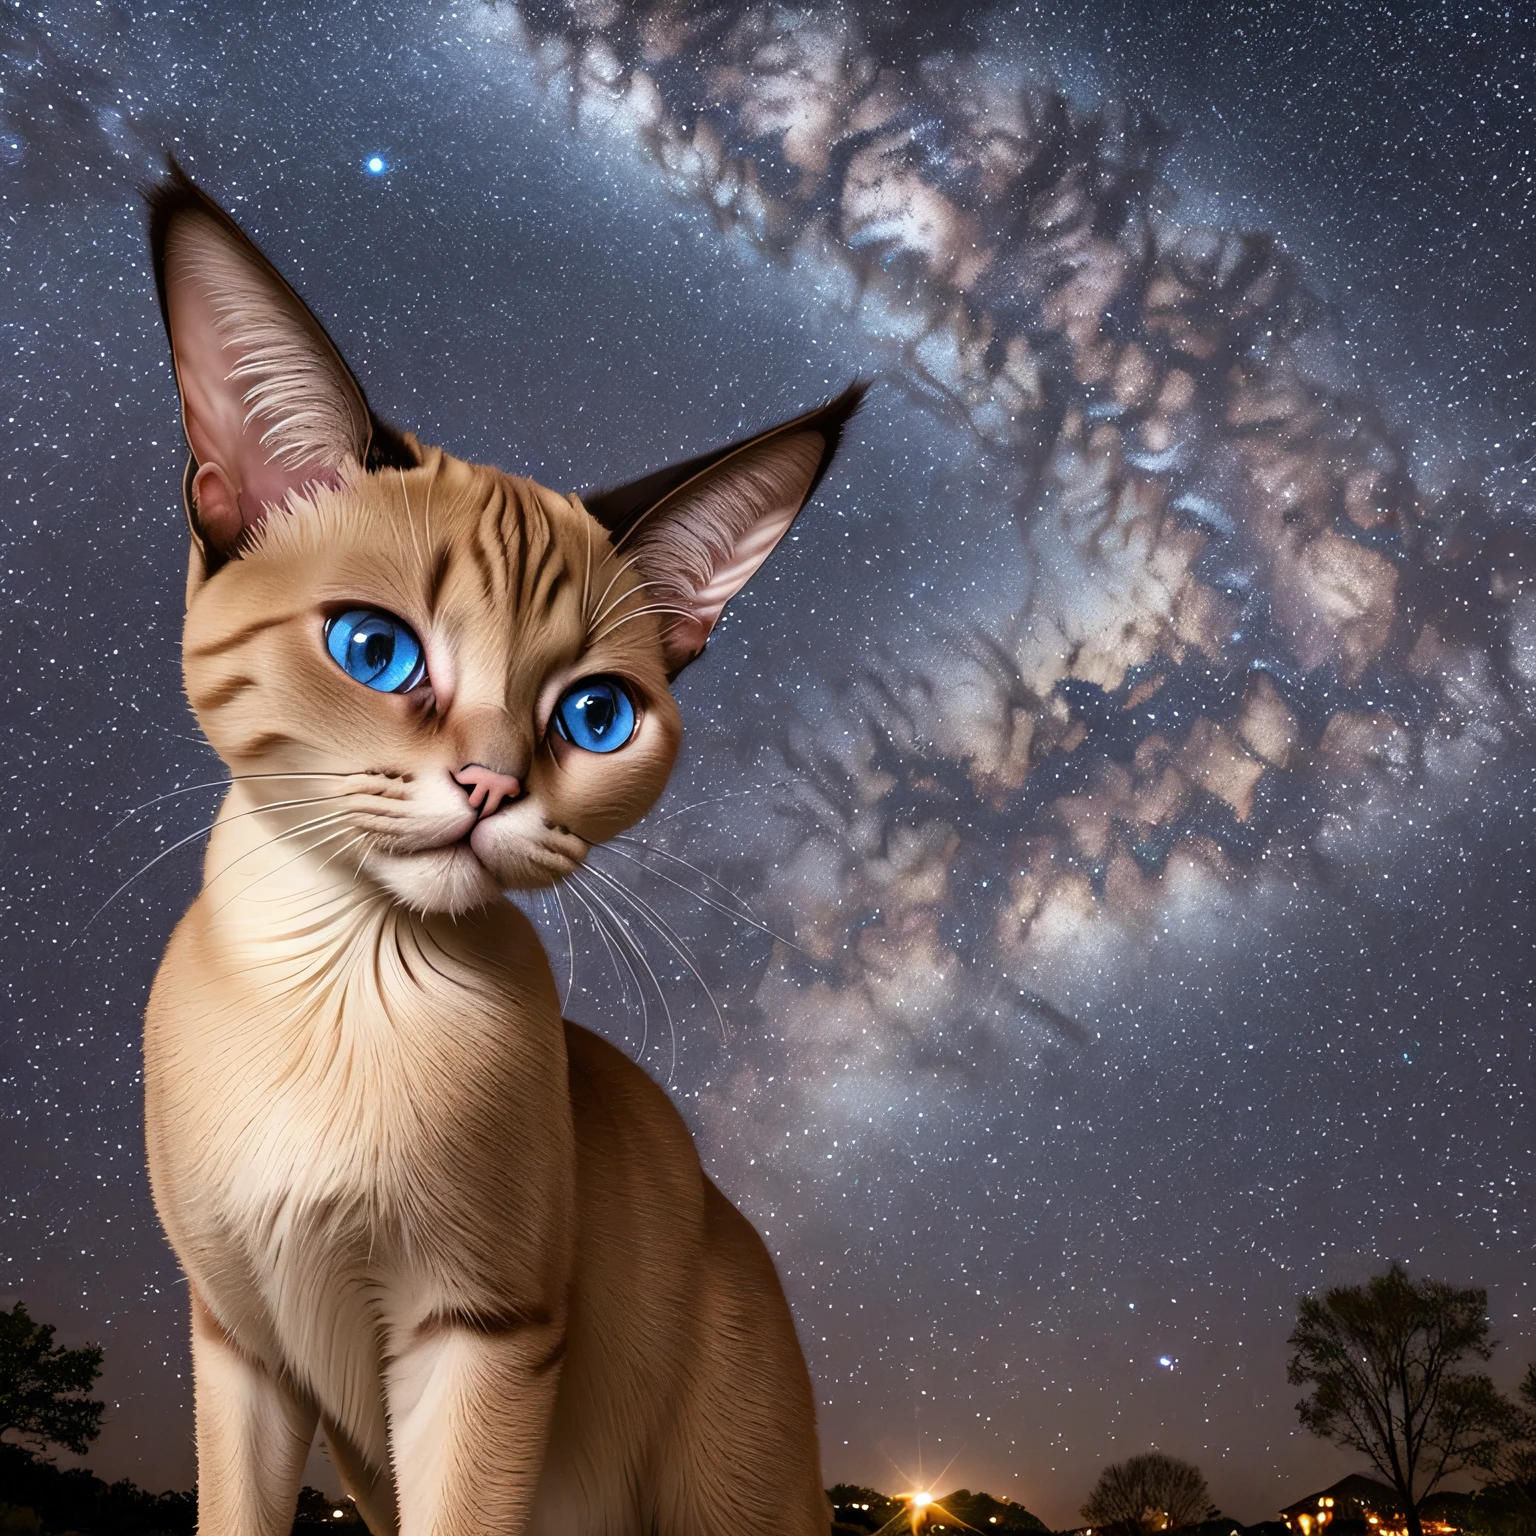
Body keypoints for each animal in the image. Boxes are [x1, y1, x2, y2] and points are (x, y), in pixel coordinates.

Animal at [141, 162, 866, 1536]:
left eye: (595, 717)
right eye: (374, 651)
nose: (490, 785)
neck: (334, 985)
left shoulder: (478, 1336)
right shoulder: (242, 1346)